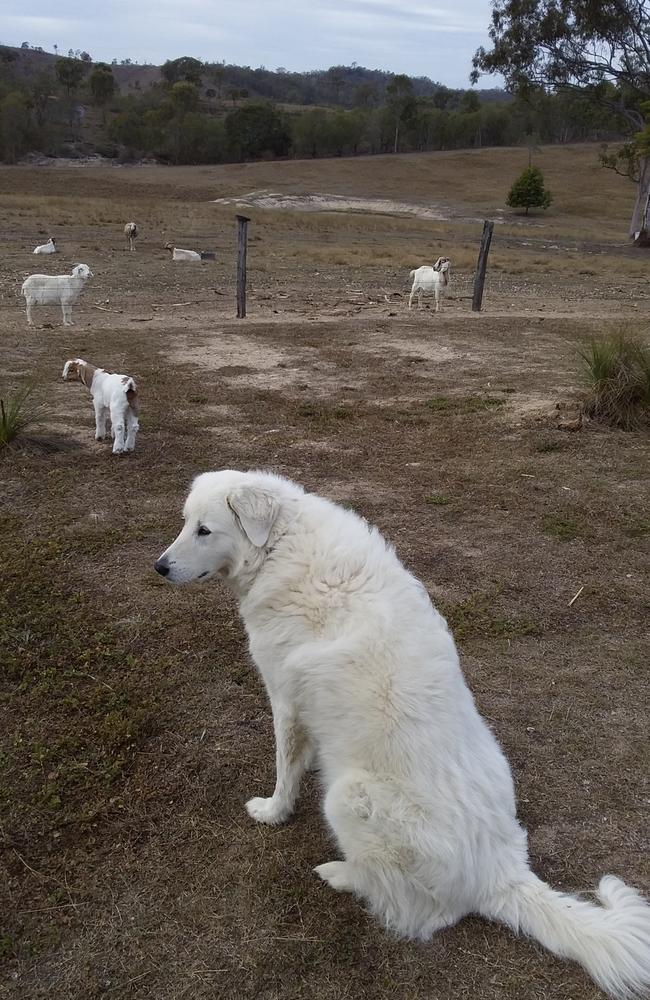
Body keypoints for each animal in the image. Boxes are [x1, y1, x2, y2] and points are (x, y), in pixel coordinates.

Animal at [153, 470, 648, 1000]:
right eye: (185, 523)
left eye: (204, 530)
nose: (159, 567)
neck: (282, 547)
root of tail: (499, 871)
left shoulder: (285, 701)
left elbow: (286, 771)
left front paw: (272, 813)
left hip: (346, 796)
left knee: (418, 912)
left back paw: (341, 875)